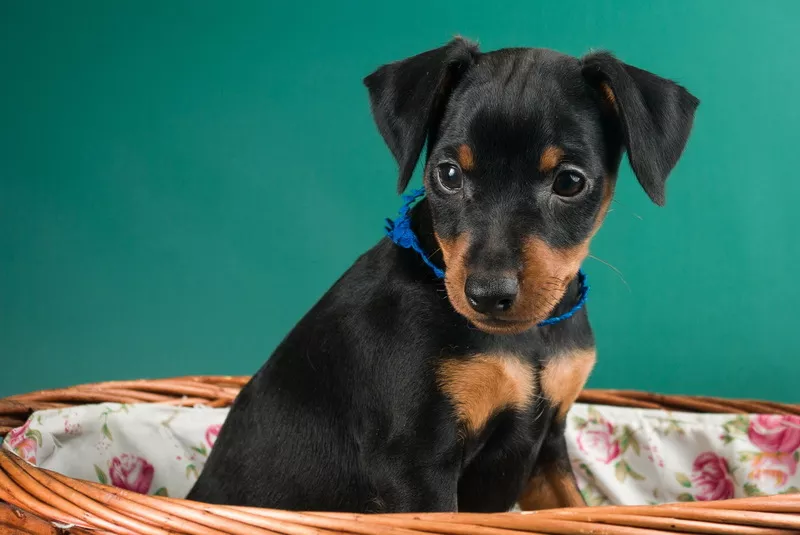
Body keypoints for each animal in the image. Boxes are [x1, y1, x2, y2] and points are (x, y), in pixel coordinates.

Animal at [186, 38, 692, 516]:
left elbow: (577, 506)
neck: (526, 341)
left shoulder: (546, 449)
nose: (487, 295)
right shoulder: (418, 466)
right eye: (447, 175)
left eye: (569, 182)